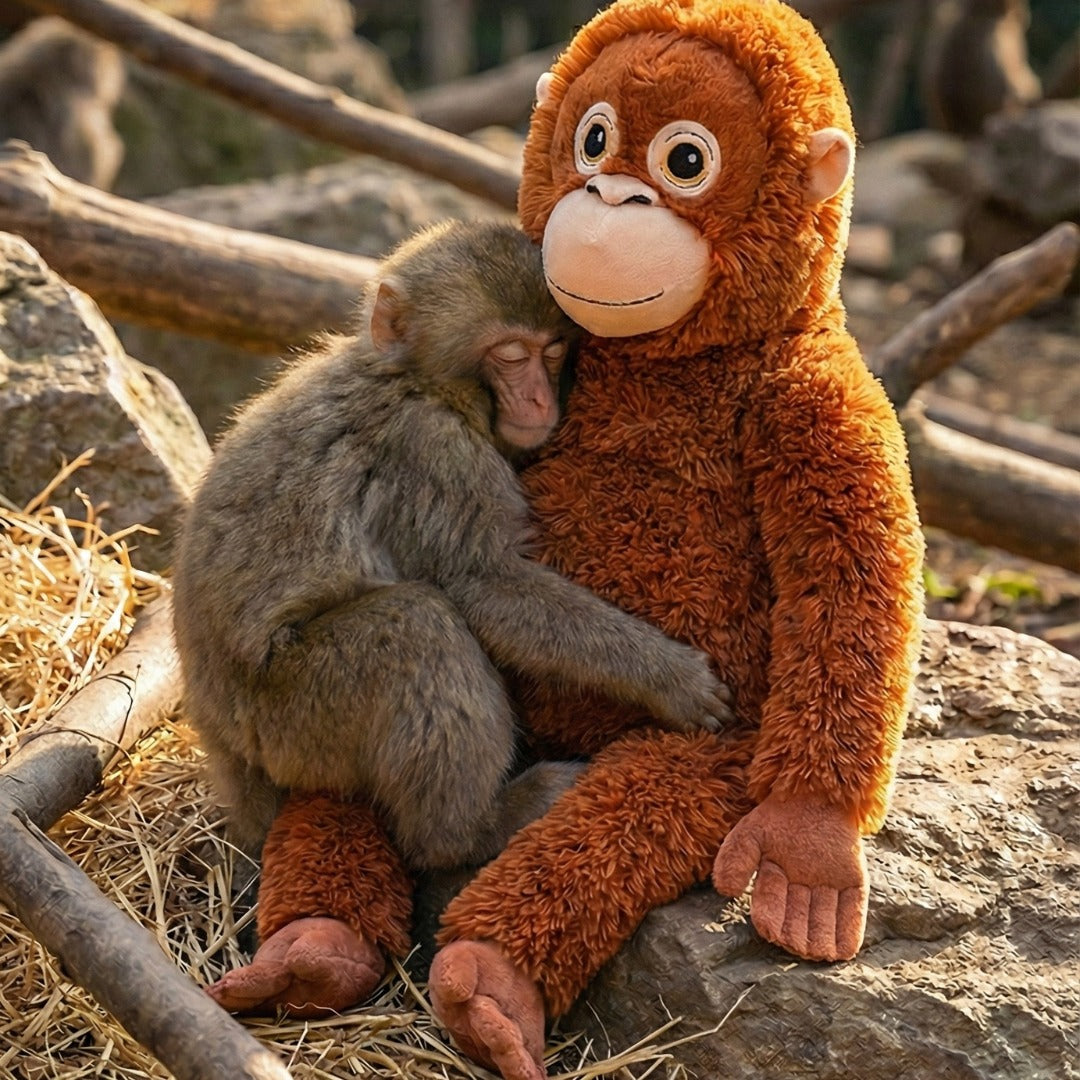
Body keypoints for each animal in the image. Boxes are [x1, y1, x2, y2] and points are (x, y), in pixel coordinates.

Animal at [172, 219, 734, 875]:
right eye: (510, 356)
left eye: (552, 351)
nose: (539, 401)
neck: (418, 382)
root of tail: (220, 745)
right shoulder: (434, 453)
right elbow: (487, 586)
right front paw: (670, 677)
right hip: (290, 721)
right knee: (418, 626)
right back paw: (469, 829)